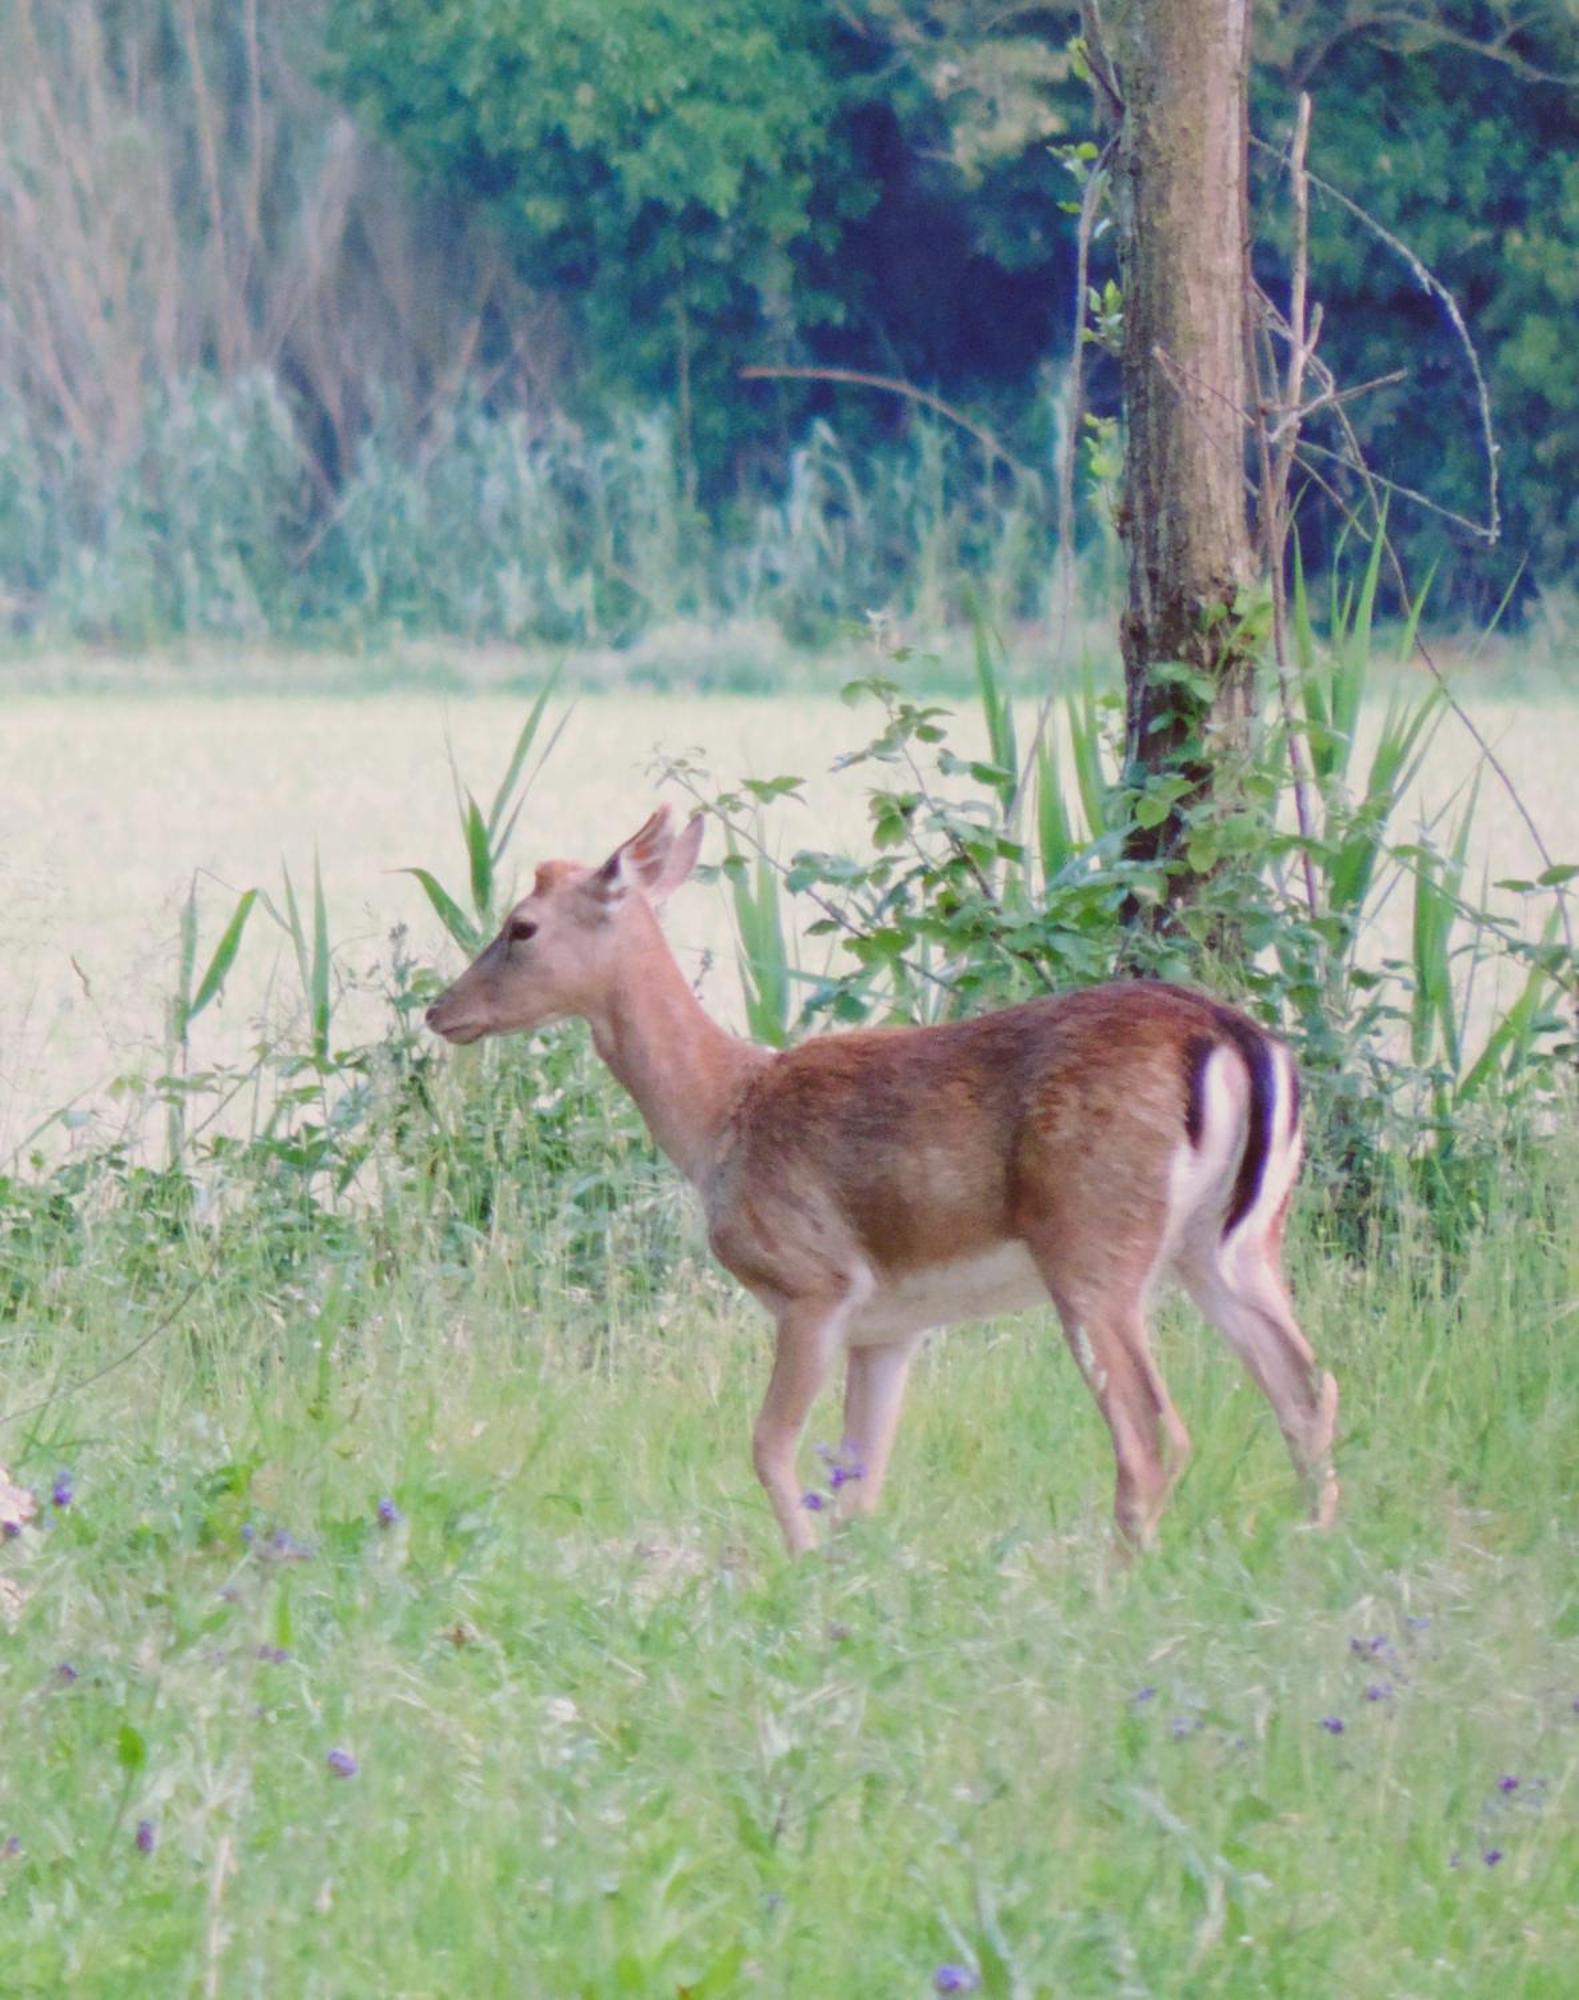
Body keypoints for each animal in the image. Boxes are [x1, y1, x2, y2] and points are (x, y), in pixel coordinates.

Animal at [425, 804, 1343, 1552]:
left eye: (521, 926)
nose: (439, 1011)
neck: (720, 1117)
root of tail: (1233, 1038)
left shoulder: (815, 1283)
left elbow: (771, 1445)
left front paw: (799, 1564)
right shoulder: (891, 1325)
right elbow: (859, 1477)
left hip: (1094, 1243)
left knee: (1153, 1432)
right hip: (1231, 1244)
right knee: (1306, 1388)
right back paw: (1311, 1547)